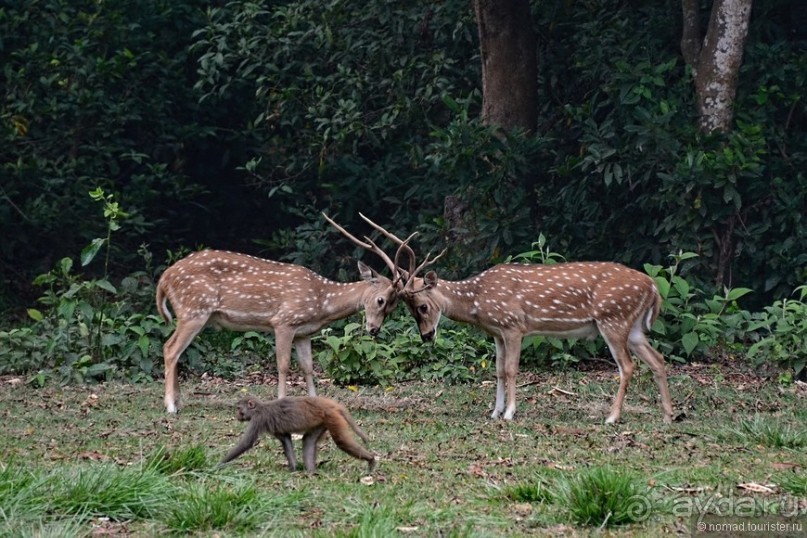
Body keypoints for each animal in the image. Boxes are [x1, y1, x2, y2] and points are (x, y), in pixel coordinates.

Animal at [155, 220, 400, 412]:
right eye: (381, 300)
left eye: (393, 306)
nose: (374, 329)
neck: (323, 301)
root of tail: (164, 278)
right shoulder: (283, 321)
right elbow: (283, 365)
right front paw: (281, 401)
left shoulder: (304, 332)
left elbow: (308, 367)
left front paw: (315, 403)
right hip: (194, 310)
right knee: (170, 349)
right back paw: (170, 407)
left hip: (194, 313)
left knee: (174, 350)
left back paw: (179, 402)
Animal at [218, 392, 376, 472]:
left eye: (239, 409)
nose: (237, 415)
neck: (259, 408)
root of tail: (329, 404)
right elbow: (286, 440)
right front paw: (293, 468)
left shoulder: (258, 420)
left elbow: (246, 443)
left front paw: (219, 465)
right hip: (323, 420)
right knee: (308, 440)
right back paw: (311, 472)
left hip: (331, 416)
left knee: (341, 441)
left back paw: (371, 459)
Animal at [332, 214, 672, 422]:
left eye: (423, 307)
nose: (427, 336)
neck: (478, 301)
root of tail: (653, 287)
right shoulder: (495, 332)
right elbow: (496, 370)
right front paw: (494, 412)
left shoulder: (514, 326)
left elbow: (510, 370)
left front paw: (509, 413)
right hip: (633, 327)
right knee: (658, 360)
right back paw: (669, 415)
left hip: (612, 319)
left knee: (627, 366)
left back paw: (612, 417)